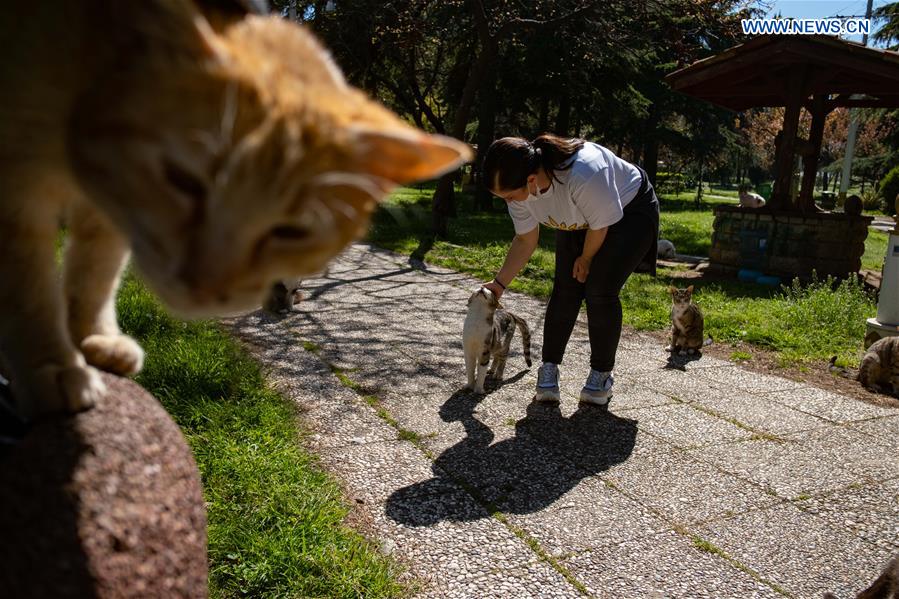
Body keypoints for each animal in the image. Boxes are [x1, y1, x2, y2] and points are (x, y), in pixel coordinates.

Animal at [0, 2, 474, 420]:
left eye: (292, 231)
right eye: (182, 180)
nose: (203, 285)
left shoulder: (110, 211)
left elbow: (94, 273)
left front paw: (93, 339)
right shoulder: (18, 183)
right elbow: (30, 286)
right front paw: (53, 365)